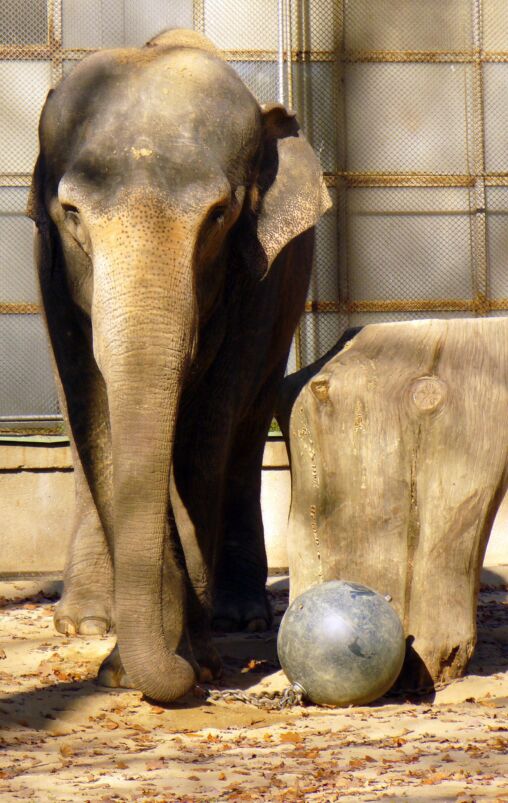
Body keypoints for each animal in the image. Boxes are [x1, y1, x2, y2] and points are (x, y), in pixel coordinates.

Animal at [28, 28, 330, 702]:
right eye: (72, 214)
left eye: (218, 215)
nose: (189, 670)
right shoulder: (52, 275)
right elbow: (95, 415)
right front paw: (123, 669)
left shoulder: (257, 282)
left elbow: (203, 442)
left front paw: (196, 663)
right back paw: (84, 619)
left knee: (244, 437)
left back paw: (240, 616)